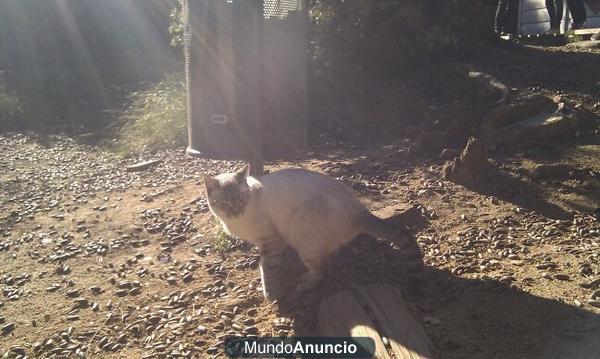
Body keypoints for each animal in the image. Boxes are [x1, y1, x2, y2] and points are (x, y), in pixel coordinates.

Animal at [204, 165, 424, 300]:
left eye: (241, 200)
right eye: (225, 204)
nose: (236, 212)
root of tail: (359, 210)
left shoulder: (270, 241)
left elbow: (267, 268)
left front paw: (271, 293)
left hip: (303, 238)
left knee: (322, 269)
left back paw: (305, 284)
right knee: (329, 257)